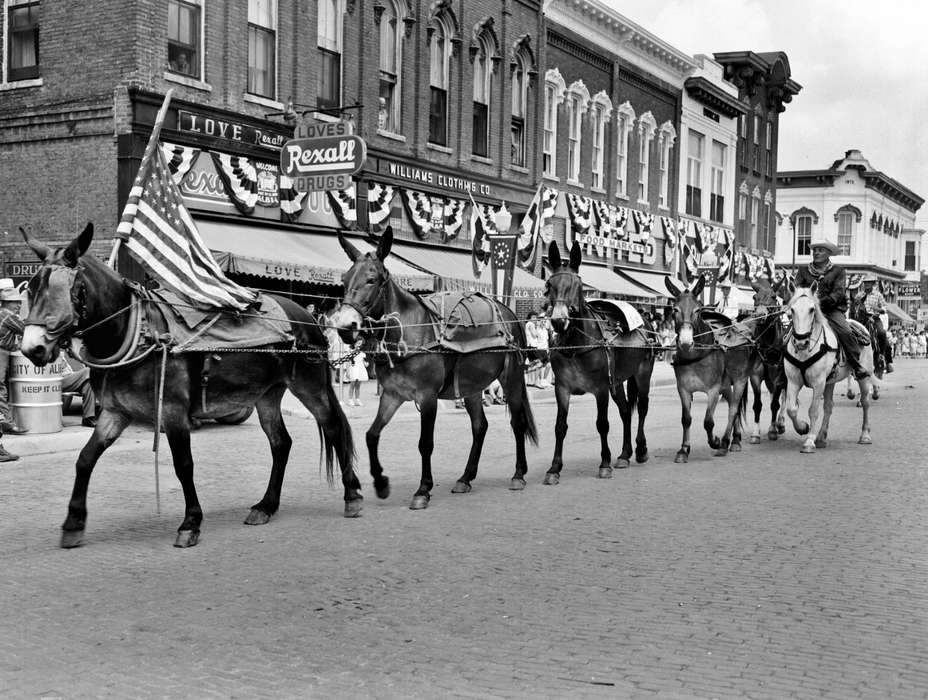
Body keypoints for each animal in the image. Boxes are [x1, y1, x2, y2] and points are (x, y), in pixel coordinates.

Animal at [784, 286, 872, 454]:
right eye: (792, 309)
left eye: (812, 309)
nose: (801, 342)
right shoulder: (793, 382)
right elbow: (791, 409)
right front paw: (802, 428)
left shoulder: (818, 383)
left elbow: (813, 410)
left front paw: (809, 442)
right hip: (830, 382)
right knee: (829, 406)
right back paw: (821, 437)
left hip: (864, 377)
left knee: (865, 402)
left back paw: (865, 436)